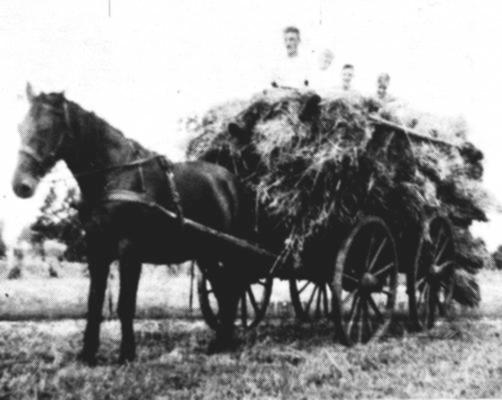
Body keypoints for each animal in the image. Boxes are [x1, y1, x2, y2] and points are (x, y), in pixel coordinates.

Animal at [11, 84, 255, 366]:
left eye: (45, 128)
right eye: (20, 127)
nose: (20, 185)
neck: (115, 175)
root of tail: (232, 181)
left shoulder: (129, 250)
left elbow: (125, 304)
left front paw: (126, 353)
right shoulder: (97, 249)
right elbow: (94, 303)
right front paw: (88, 353)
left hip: (224, 249)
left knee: (232, 288)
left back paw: (224, 341)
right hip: (207, 252)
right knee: (227, 289)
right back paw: (224, 341)